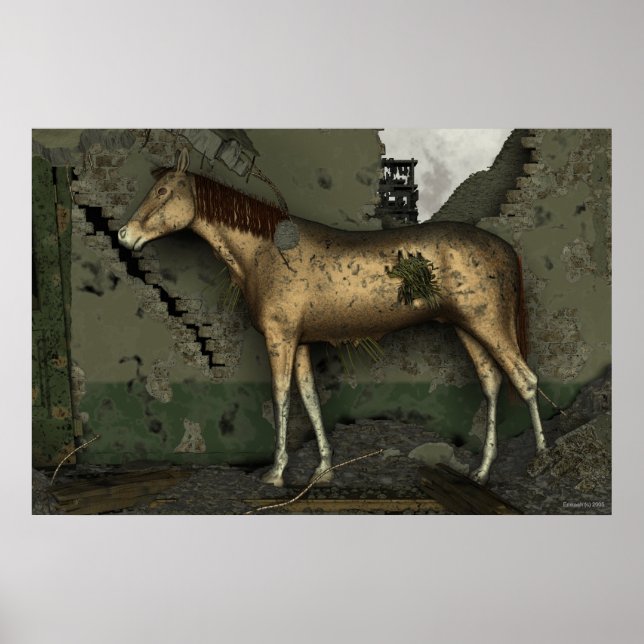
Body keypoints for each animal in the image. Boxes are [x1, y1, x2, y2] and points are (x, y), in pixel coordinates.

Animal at [118, 148, 547, 487]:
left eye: (162, 192)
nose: (124, 234)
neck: (267, 252)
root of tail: (505, 249)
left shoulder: (280, 338)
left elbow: (281, 396)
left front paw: (276, 473)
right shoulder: (302, 342)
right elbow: (310, 398)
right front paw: (323, 469)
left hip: (489, 325)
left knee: (525, 381)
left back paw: (539, 460)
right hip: (466, 328)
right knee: (492, 383)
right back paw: (482, 471)